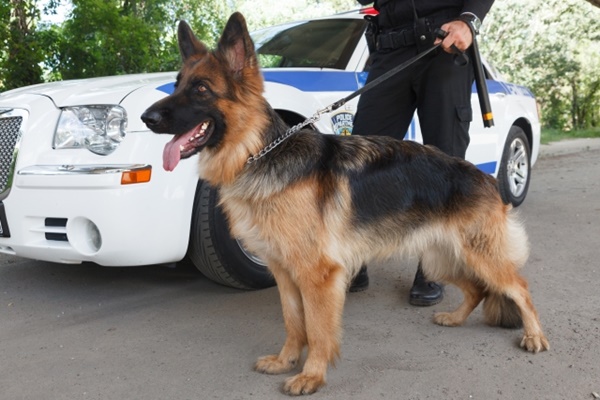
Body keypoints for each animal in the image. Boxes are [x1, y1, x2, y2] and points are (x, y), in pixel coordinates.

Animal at [141, 11, 548, 394]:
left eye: (201, 89)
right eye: (176, 85)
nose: (146, 117)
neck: (261, 153)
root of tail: (485, 178)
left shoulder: (317, 276)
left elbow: (318, 330)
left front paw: (311, 375)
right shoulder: (285, 273)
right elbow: (294, 323)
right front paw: (286, 361)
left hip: (479, 255)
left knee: (520, 288)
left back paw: (534, 335)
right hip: (440, 257)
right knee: (478, 289)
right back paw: (456, 318)